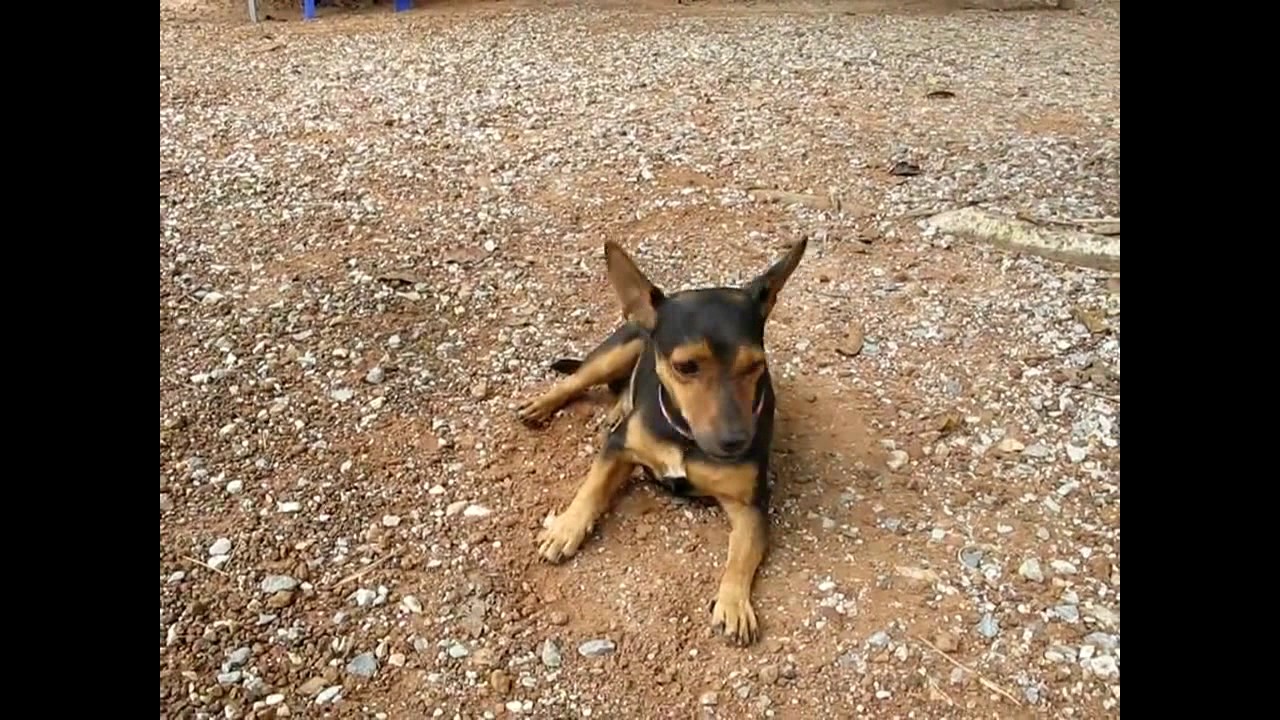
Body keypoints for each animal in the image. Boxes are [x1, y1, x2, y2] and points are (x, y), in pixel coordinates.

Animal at [516, 238, 807, 645]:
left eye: (754, 366)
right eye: (686, 367)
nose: (735, 441)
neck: (685, 438)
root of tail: (641, 319)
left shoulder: (750, 504)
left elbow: (741, 553)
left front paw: (734, 603)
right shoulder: (618, 447)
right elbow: (592, 486)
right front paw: (566, 528)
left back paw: (619, 405)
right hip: (617, 351)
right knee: (575, 380)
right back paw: (544, 404)